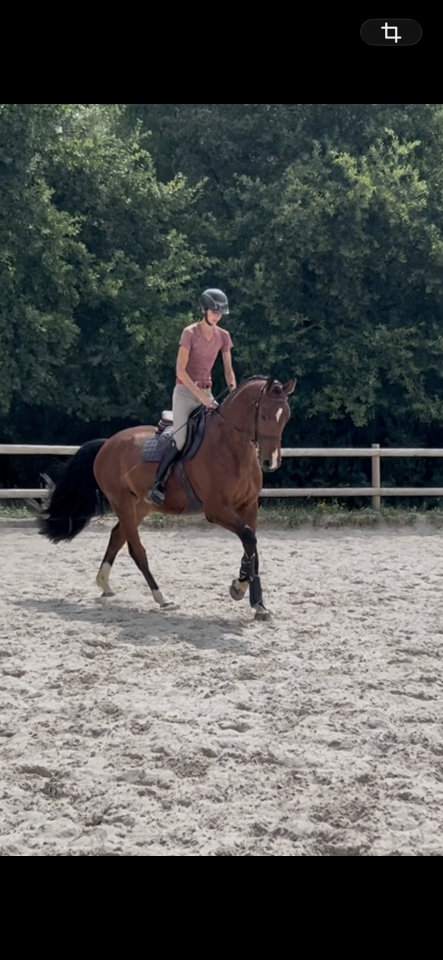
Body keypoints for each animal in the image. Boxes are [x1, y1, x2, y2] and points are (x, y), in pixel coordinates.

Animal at [36, 376, 296, 621]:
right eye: (264, 415)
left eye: (286, 418)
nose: (271, 461)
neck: (232, 447)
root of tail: (107, 443)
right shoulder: (217, 509)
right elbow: (249, 539)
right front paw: (239, 588)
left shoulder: (249, 506)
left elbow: (252, 546)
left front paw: (258, 604)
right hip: (122, 501)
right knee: (136, 549)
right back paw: (161, 597)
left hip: (141, 504)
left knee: (117, 535)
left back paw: (104, 583)